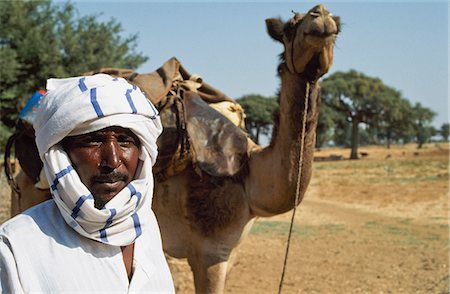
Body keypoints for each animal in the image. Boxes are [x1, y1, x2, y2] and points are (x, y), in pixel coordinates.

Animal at [7, 4, 340, 292]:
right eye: (289, 28)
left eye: (336, 22)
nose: (320, 15)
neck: (249, 177)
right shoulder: (209, 252)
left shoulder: (229, 253)